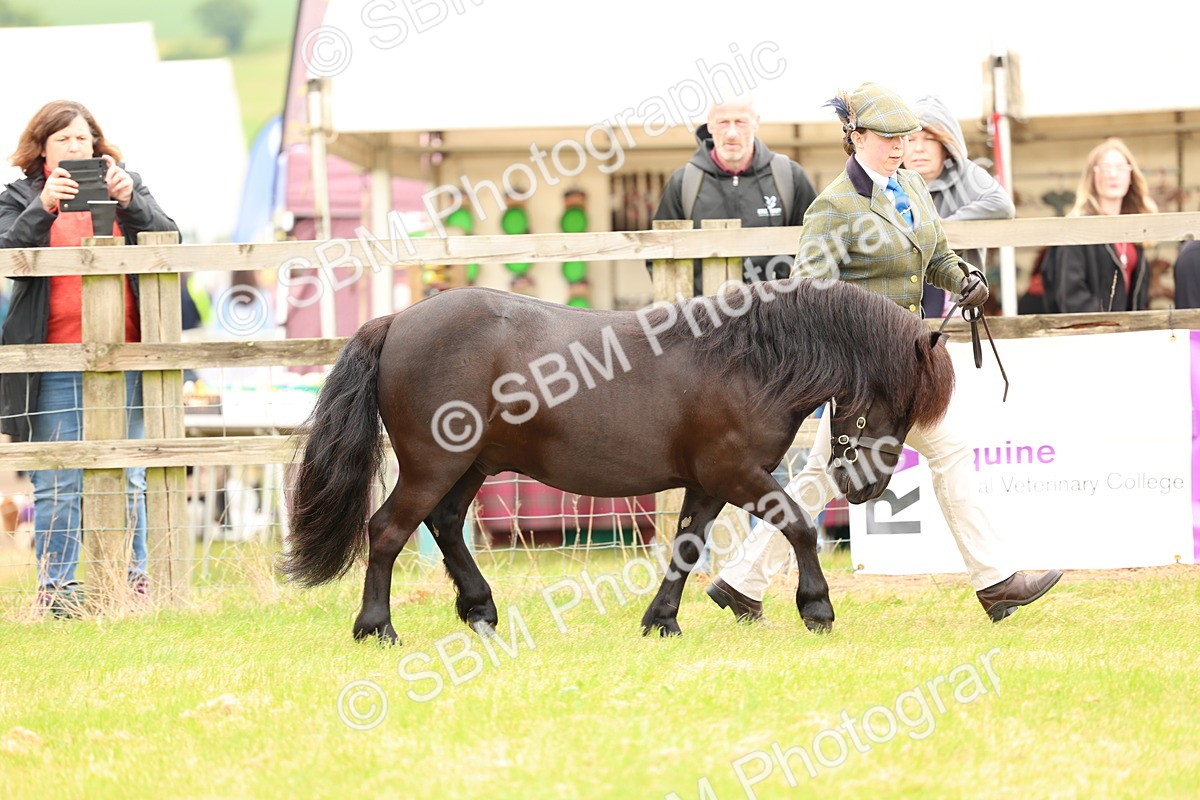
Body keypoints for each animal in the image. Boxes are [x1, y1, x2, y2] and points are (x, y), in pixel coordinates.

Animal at [280, 278, 955, 643]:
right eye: (898, 402)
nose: (868, 488)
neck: (747, 361)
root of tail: (398, 320)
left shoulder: (709, 483)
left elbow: (686, 546)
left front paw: (662, 620)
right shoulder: (737, 474)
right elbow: (798, 524)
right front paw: (817, 608)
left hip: (471, 465)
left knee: (443, 524)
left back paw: (480, 610)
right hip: (433, 464)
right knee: (387, 529)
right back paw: (378, 627)